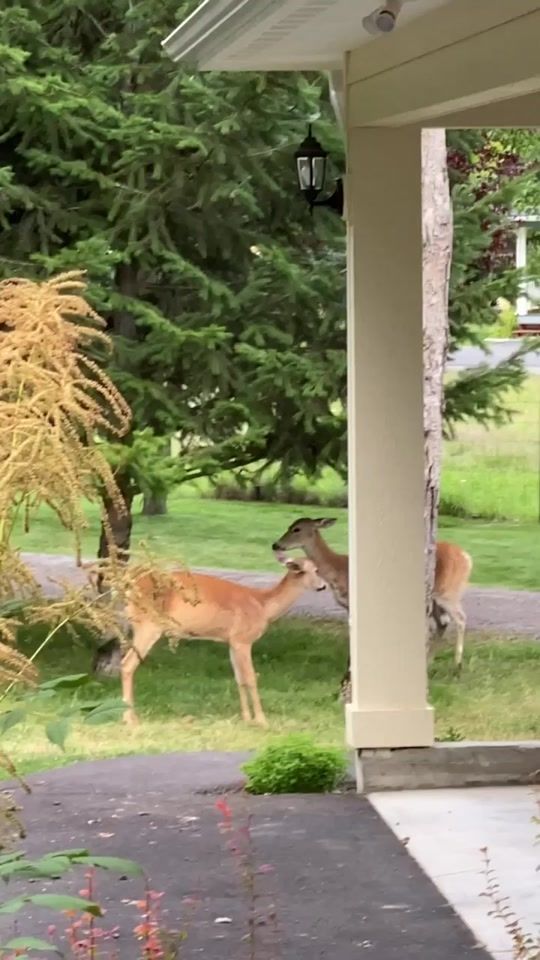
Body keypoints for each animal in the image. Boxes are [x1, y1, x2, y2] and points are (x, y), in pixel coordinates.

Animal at [117, 556, 324, 728]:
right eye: (302, 570)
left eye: (317, 569)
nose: (322, 586)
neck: (262, 606)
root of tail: (129, 587)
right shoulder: (243, 639)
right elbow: (251, 677)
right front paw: (261, 720)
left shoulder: (232, 641)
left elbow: (239, 678)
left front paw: (246, 718)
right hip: (149, 625)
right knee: (127, 664)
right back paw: (131, 719)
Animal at [272, 516, 470, 696]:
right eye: (289, 526)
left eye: (296, 529)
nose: (275, 545)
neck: (337, 571)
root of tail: (467, 557)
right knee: (442, 623)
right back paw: (428, 664)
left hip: (448, 590)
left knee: (460, 618)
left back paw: (457, 668)